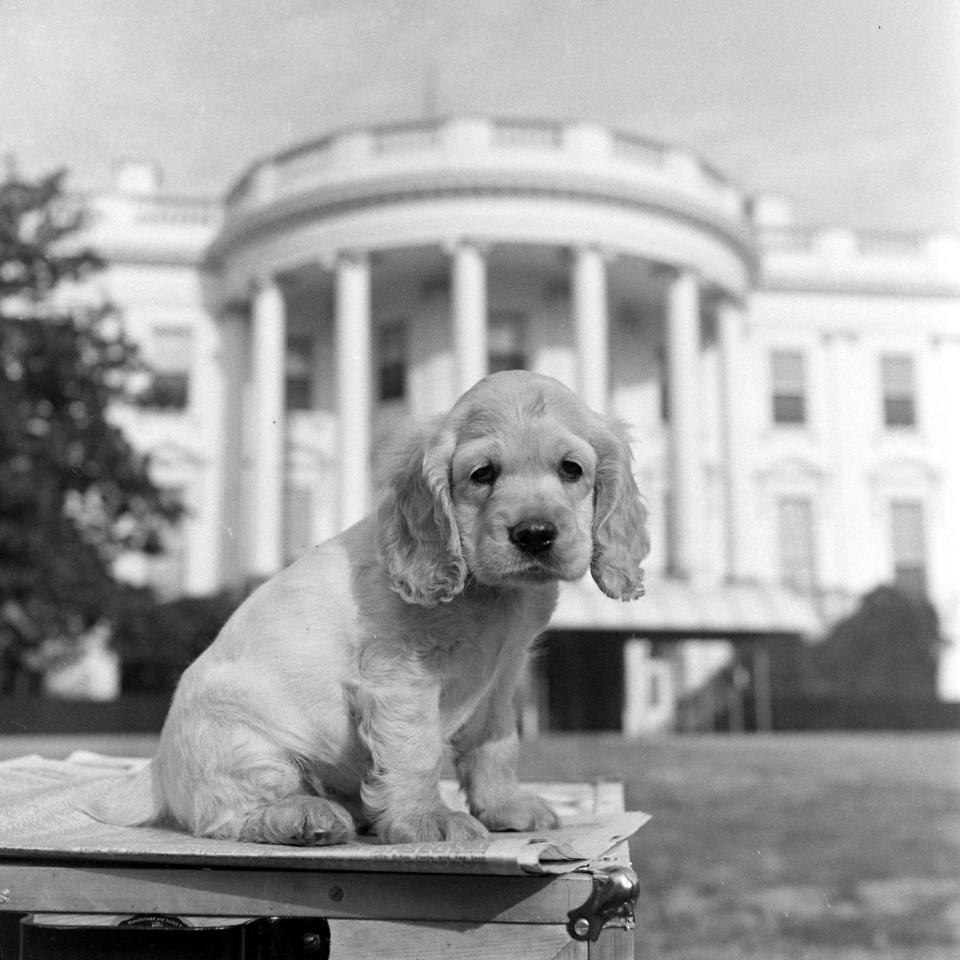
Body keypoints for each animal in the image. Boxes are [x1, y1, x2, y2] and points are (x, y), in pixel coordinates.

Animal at [94, 372, 648, 844]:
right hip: (243, 743)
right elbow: (417, 751)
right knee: (228, 814)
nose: (534, 534)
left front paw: (506, 806)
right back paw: (304, 817)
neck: (492, 592)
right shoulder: (402, 677)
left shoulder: (502, 677)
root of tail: (157, 771)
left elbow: (496, 743)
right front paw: (427, 819)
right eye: (482, 474)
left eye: (571, 469)